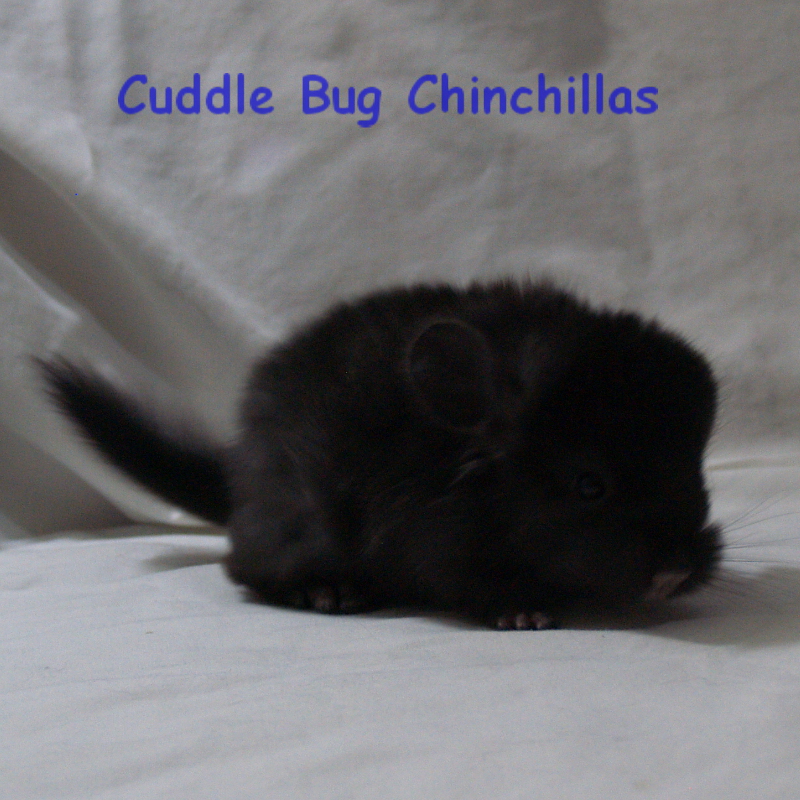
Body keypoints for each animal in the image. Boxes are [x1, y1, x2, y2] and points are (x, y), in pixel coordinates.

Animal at [40, 280, 721, 629]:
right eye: (589, 485)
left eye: (697, 473)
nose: (676, 574)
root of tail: (240, 477)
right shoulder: (436, 549)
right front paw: (525, 613)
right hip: (300, 527)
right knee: (245, 569)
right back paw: (329, 593)